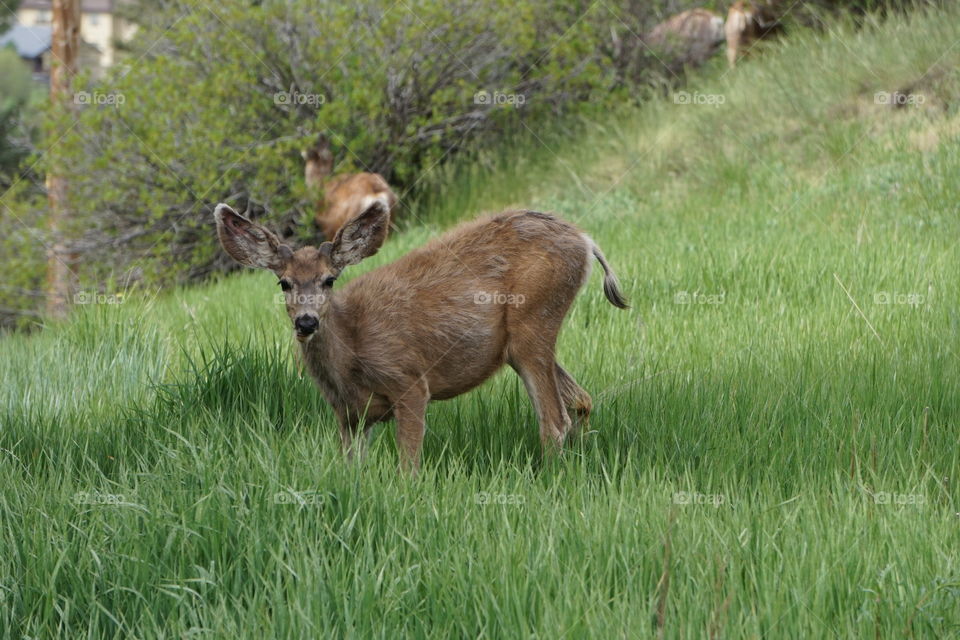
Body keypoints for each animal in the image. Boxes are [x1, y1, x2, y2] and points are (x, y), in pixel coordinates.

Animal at [214, 200, 628, 470]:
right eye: (283, 283)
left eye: (329, 279)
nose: (306, 322)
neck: (349, 356)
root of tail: (585, 239)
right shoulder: (347, 415)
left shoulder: (408, 380)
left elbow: (408, 465)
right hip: (519, 344)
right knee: (581, 400)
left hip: (534, 320)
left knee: (555, 421)